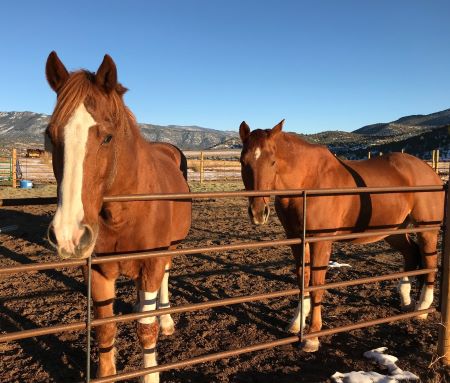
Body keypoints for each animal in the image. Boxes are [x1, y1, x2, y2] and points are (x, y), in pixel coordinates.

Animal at [46, 51, 192, 383]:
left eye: (107, 138)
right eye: (50, 135)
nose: (69, 235)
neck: (124, 214)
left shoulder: (152, 262)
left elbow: (146, 329)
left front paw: (151, 374)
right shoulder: (98, 273)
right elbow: (105, 328)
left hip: (171, 247)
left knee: (164, 279)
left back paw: (165, 319)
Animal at [241, 120, 444, 354]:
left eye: (273, 161)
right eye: (243, 161)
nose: (258, 212)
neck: (308, 181)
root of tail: (429, 171)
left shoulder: (321, 242)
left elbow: (317, 285)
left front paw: (312, 336)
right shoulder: (297, 240)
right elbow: (303, 280)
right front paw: (296, 323)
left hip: (426, 229)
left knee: (430, 262)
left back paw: (423, 309)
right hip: (392, 230)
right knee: (411, 255)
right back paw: (406, 301)